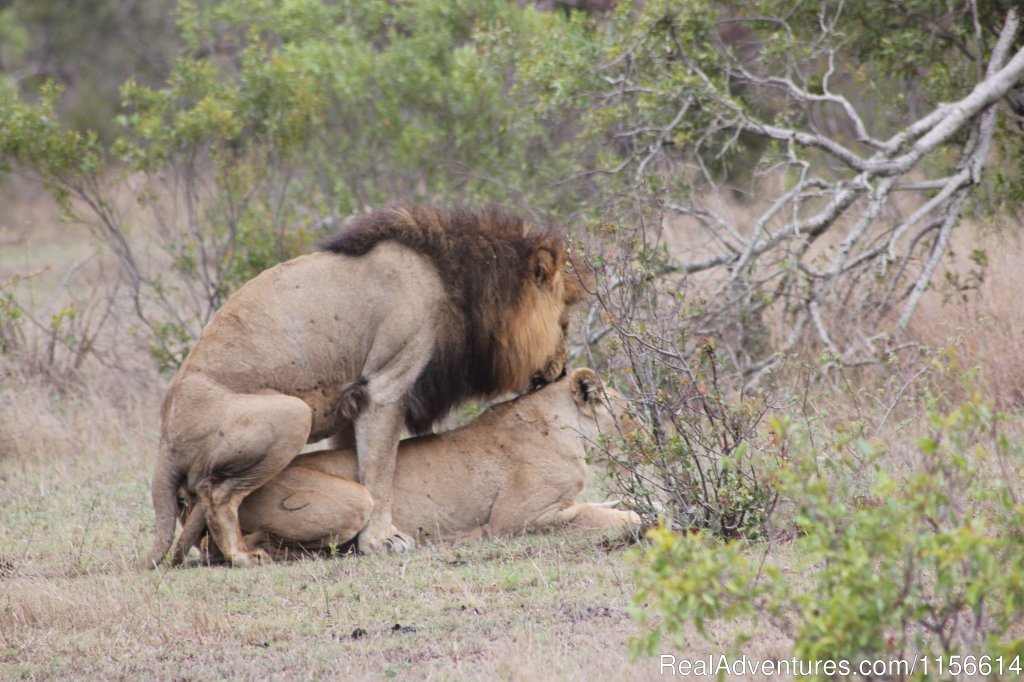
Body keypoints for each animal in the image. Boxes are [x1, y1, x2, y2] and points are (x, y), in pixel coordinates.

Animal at [142, 204, 585, 565]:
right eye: (564, 323)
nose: (563, 369)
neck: (451, 281)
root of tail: (164, 442)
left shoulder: (351, 400)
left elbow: (358, 463)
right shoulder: (386, 387)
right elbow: (380, 471)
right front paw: (382, 541)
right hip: (292, 413)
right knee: (216, 494)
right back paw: (242, 556)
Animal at [174, 368, 638, 561]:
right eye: (630, 411)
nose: (648, 429)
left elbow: (601, 506)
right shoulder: (518, 518)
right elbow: (592, 516)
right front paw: (634, 515)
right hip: (354, 499)